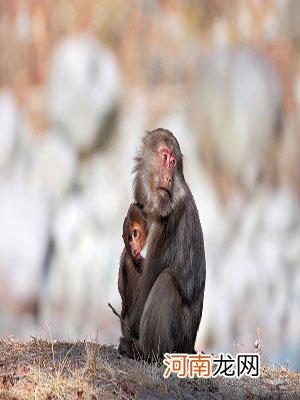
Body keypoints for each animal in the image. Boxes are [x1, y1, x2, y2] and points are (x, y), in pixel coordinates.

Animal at [119, 129, 206, 360]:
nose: (168, 177)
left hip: (178, 340)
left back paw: (143, 351)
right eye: (165, 156)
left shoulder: (169, 223)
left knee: (165, 281)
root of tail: (189, 347)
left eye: (173, 162)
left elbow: (150, 282)